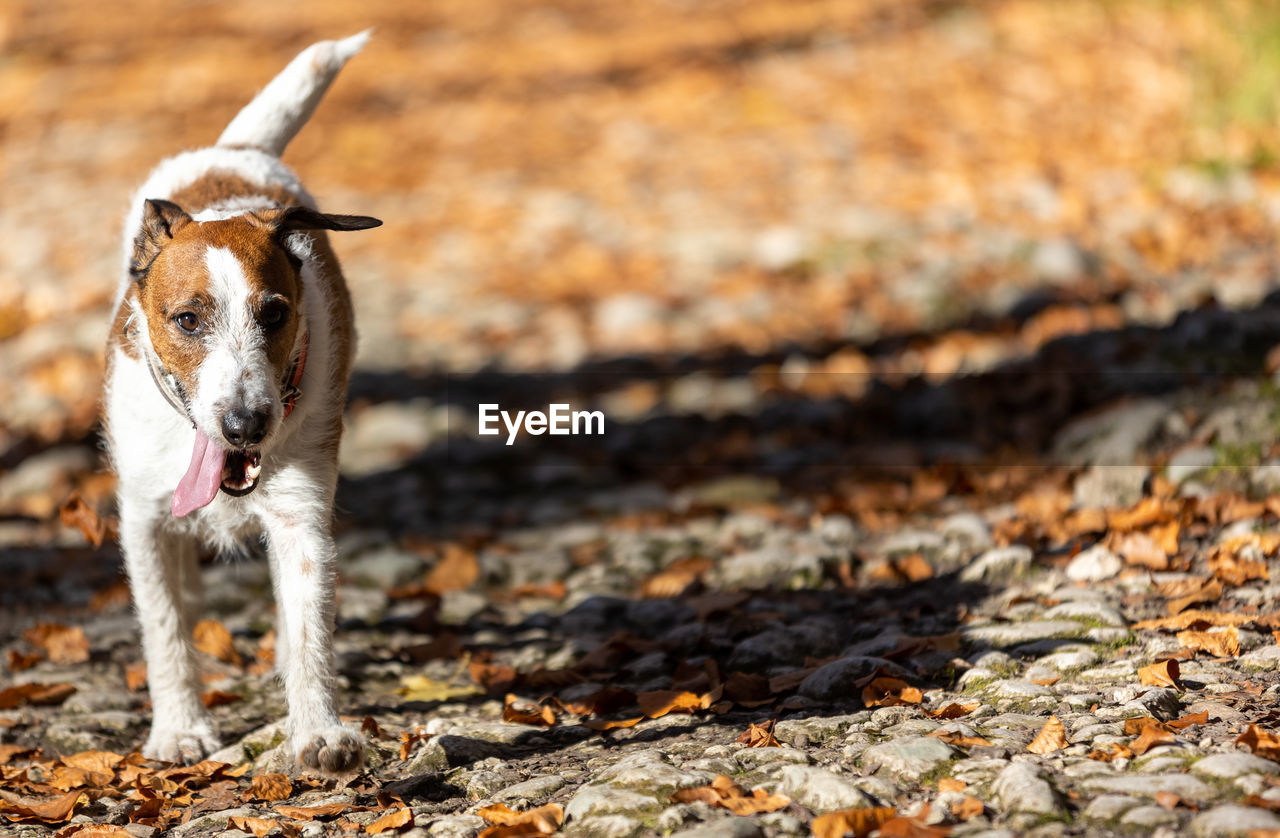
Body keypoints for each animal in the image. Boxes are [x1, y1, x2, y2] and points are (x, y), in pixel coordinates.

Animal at [103, 32, 381, 772]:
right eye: (187, 320)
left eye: (275, 313)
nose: (245, 423)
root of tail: (238, 151)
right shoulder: (144, 518)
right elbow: (164, 629)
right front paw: (179, 729)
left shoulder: (301, 514)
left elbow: (310, 627)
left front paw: (318, 732)